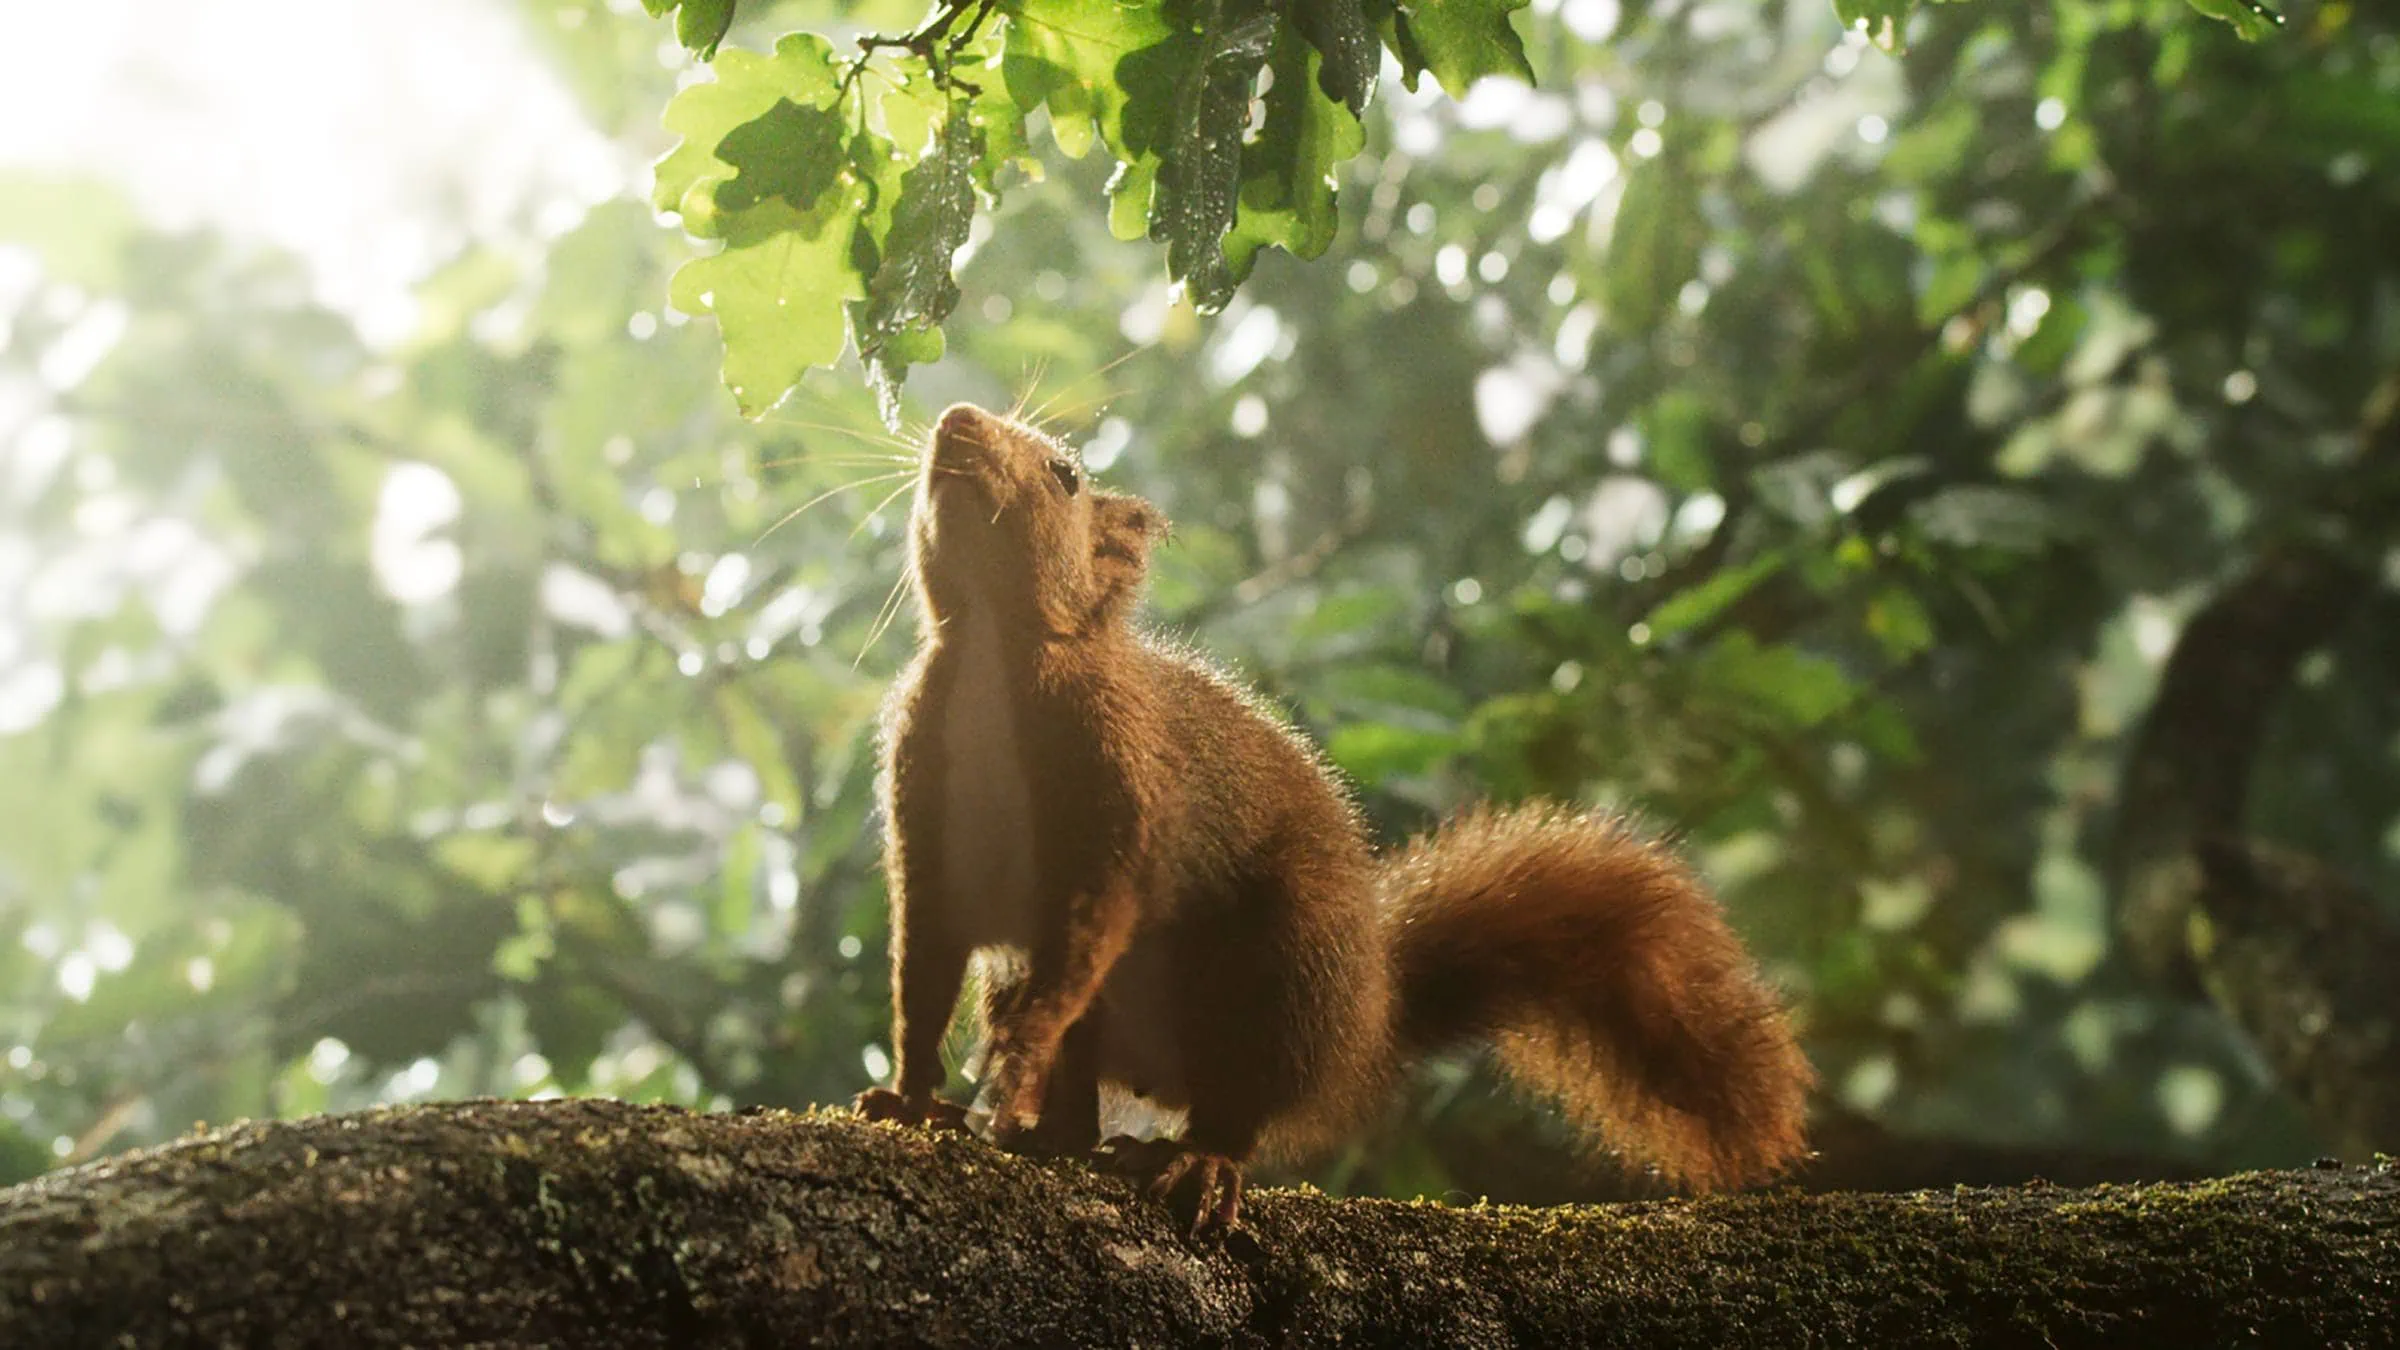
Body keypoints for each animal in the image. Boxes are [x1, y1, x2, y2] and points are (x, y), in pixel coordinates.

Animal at [854, 398, 1804, 1229]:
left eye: (1066, 476)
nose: (956, 419)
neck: (994, 659)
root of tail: (1368, 1023)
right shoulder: (923, 815)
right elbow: (922, 969)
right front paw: (910, 1098)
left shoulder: (1122, 793)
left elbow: (1088, 933)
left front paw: (1014, 1059)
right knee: (1085, 1099)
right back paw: (1053, 1136)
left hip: (1285, 980)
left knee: (1238, 1106)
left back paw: (1193, 1161)